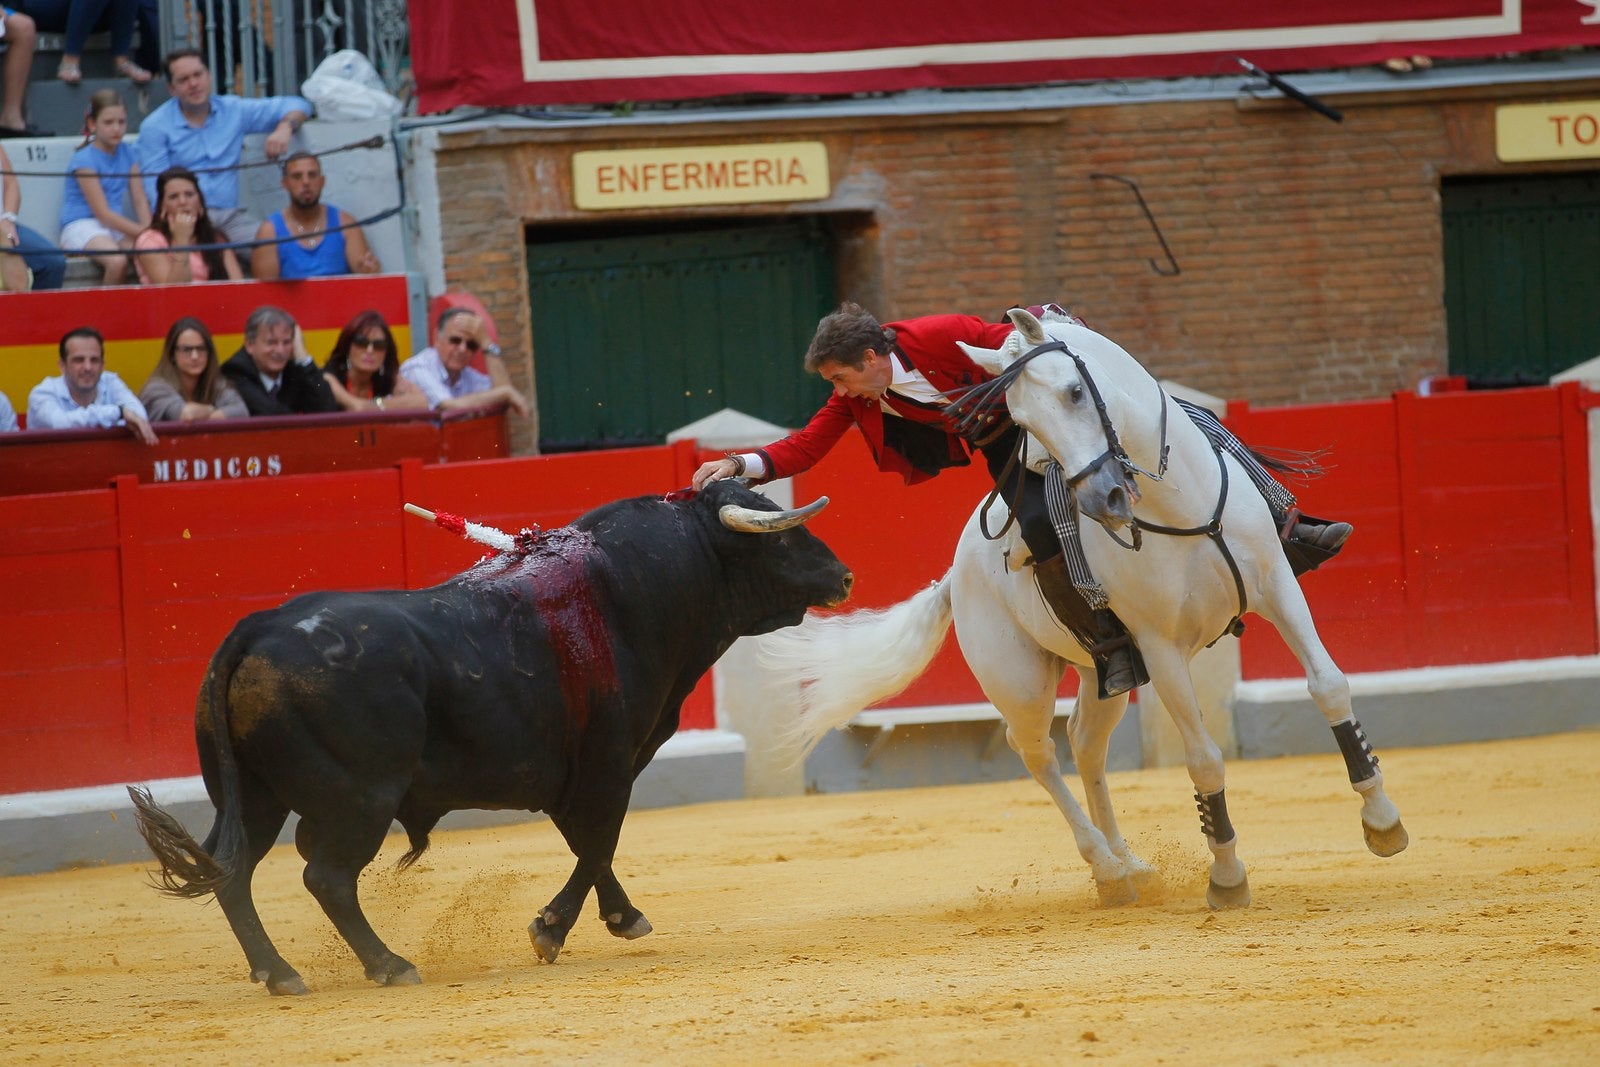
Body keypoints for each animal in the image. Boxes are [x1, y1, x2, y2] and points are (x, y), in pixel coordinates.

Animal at [124, 479, 851, 998]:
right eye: (780, 541)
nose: (843, 575)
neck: (632, 593)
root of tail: (260, 626)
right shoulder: (609, 765)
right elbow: (599, 842)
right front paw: (553, 930)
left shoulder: (568, 776)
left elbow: (589, 845)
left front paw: (618, 917)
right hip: (361, 798)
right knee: (325, 876)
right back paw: (388, 964)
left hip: (254, 798)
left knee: (234, 872)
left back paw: (278, 972)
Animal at [768, 308, 1408, 908]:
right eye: (1022, 421)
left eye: (1076, 392)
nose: (1105, 500)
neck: (1176, 507)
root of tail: (955, 573)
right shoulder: (1161, 646)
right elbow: (1202, 756)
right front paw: (1227, 877)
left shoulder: (1279, 589)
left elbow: (1329, 685)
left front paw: (1382, 821)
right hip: (1019, 682)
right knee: (1036, 752)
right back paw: (1107, 868)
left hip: (1104, 674)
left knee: (1084, 741)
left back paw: (1130, 865)